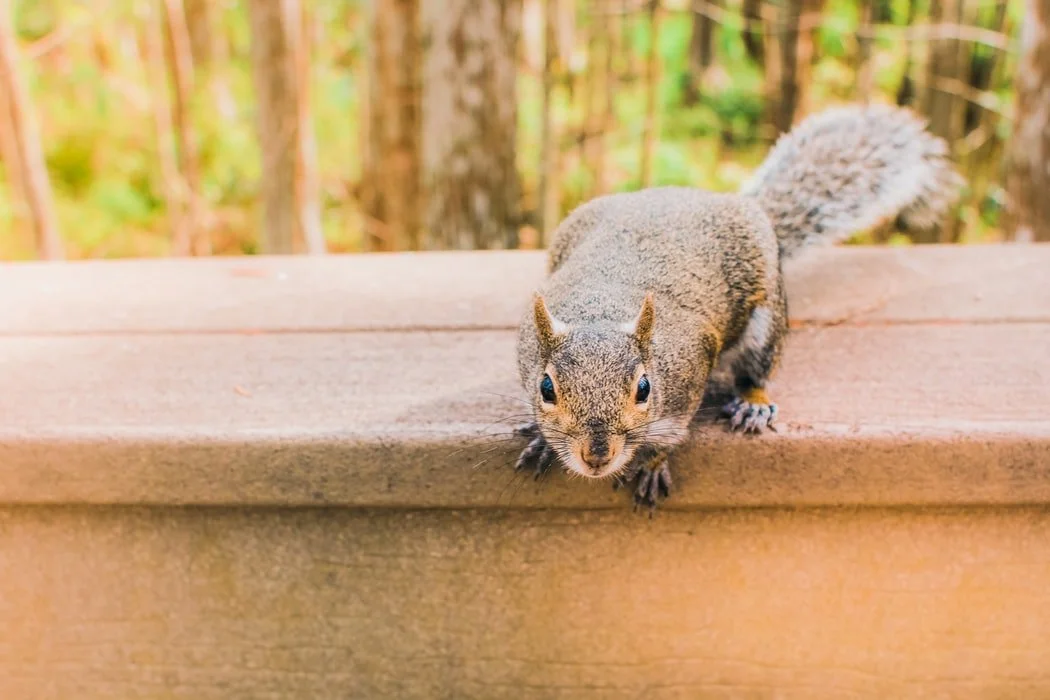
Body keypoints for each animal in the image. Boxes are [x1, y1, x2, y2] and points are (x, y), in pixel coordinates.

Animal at [513, 104, 964, 511]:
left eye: (644, 389)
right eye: (546, 388)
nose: (596, 456)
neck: (602, 309)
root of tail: (733, 203)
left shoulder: (688, 376)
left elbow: (672, 434)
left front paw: (654, 464)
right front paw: (542, 439)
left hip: (767, 317)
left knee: (757, 367)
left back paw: (753, 402)